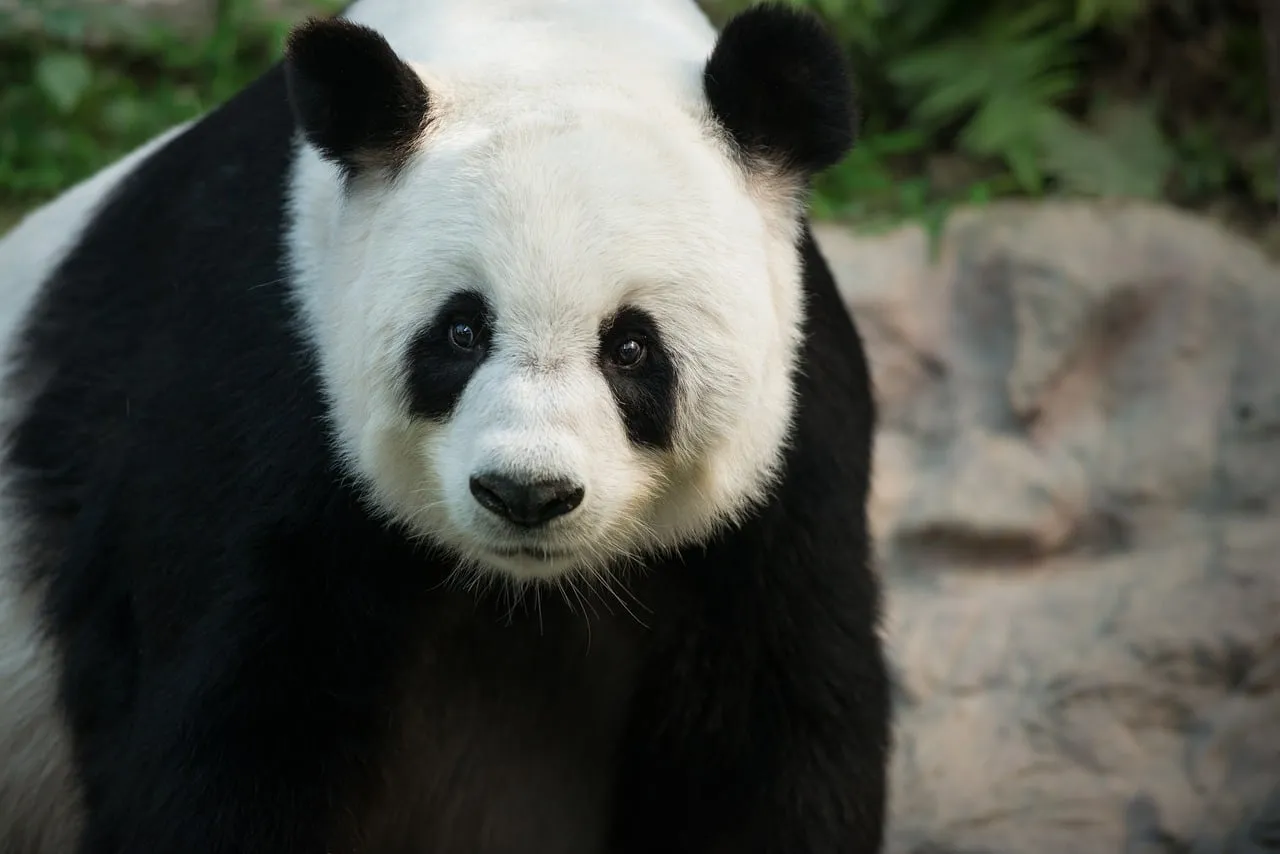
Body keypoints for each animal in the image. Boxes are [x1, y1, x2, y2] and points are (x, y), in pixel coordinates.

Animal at [0, 0, 889, 851]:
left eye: (632, 347)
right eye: (462, 331)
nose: (527, 494)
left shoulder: (792, 450)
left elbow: (772, 735)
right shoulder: (257, 376)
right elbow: (231, 727)